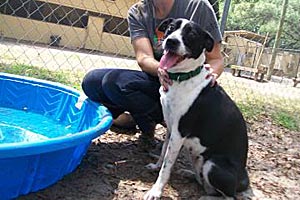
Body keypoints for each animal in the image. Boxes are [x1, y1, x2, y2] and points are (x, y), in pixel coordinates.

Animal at [144, 18, 250, 199]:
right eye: (171, 28)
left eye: (192, 35)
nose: (171, 41)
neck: (183, 78)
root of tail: (243, 180)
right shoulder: (171, 128)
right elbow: (164, 153)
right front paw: (156, 166)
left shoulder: (179, 133)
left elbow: (167, 166)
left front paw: (155, 190)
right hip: (198, 159)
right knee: (204, 184)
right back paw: (189, 174)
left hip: (213, 165)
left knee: (229, 195)